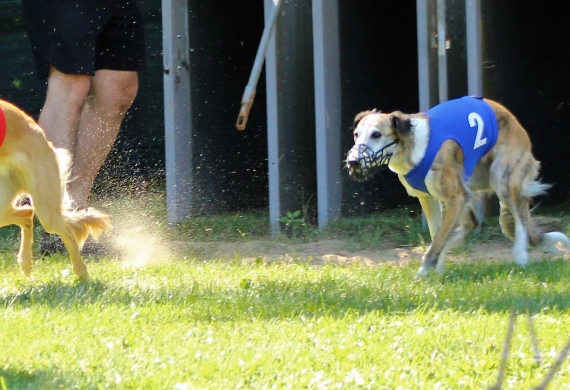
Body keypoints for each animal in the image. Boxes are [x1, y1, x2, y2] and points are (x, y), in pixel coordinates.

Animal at [0, 99, 110, 278]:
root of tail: (41, 135)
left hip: (46, 208)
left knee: (67, 234)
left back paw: (82, 273)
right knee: (27, 213)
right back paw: (26, 262)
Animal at [344, 96, 564, 276]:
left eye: (376, 134)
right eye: (356, 134)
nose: (353, 162)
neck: (413, 147)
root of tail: (514, 121)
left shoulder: (454, 198)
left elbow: (437, 239)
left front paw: (422, 274)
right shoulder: (429, 199)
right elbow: (437, 235)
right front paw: (434, 270)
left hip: (502, 179)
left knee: (520, 217)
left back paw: (520, 255)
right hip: (469, 187)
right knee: (471, 224)